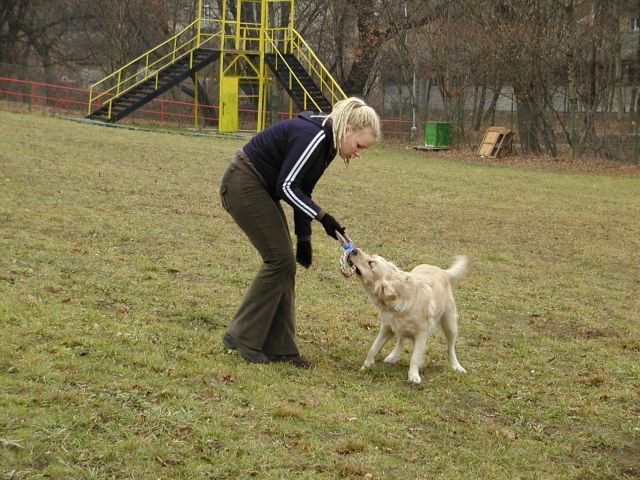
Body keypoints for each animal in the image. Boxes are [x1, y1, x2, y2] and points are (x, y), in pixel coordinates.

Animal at [348, 249, 468, 384]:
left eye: (371, 263)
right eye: (371, 256)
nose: (354, 250)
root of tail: (443, 271)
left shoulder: (421, 334)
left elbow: (415, 357)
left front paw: (413, 376)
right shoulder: (387, 327)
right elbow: (373, 348)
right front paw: (365, 367)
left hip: (450, 324)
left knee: (451, 348)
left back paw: (456, 366)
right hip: (400, 327)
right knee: (400, 339)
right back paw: (393, 356)